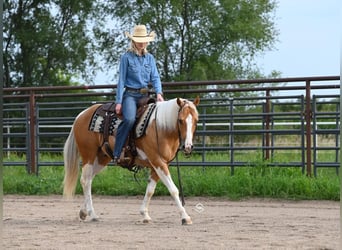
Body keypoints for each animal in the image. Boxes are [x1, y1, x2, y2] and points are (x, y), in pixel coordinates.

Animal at [63, 96, 200, 225]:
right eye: (180, 120)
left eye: (196, 120)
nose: (188, 147)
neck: (161, 127)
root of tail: (81, 115)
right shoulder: (158, 162)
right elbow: (173, 189)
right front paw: (185, 217)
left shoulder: (159, 164)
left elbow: (150, 190)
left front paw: (145, 215)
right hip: (89, 156)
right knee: (86, 181)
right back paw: (92, 214)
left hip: (101, 158)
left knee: (88, 180)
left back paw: (83, 212)